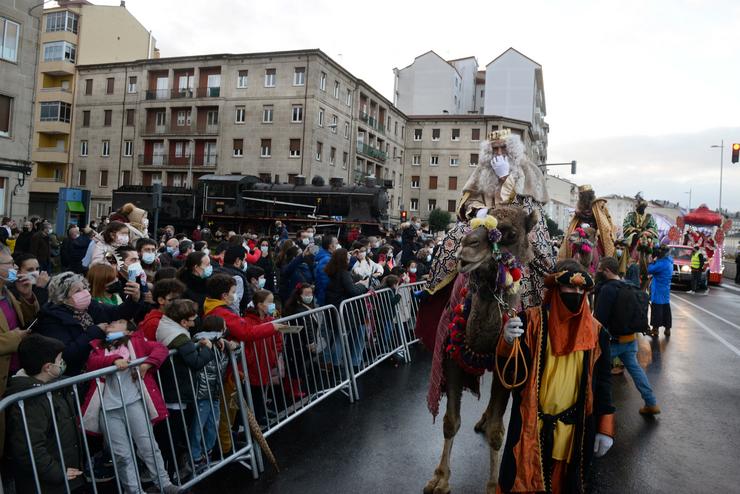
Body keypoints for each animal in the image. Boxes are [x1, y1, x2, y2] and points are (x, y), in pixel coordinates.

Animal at [422, 206, 536, 494]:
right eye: (474, 223)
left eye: (510, 233)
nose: (467, 245)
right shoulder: (451, 357)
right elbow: (450, 421)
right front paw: (440, 478)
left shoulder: (508, 366)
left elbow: (497, 432)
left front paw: (494, 485)